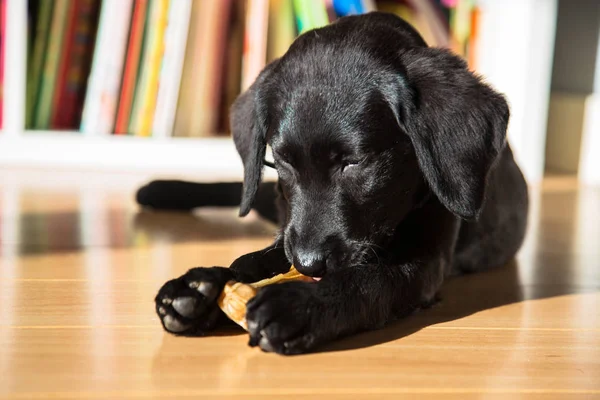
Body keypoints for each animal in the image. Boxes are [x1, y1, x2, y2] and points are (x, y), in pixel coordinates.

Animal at [148, 12, 528, 354]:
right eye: (282, 161)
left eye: (353, 162)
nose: (308, 265)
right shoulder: (289, 232)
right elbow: (253, 260)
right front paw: (203, 285)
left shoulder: (425, 260)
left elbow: (369, 281)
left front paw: (300, 304)